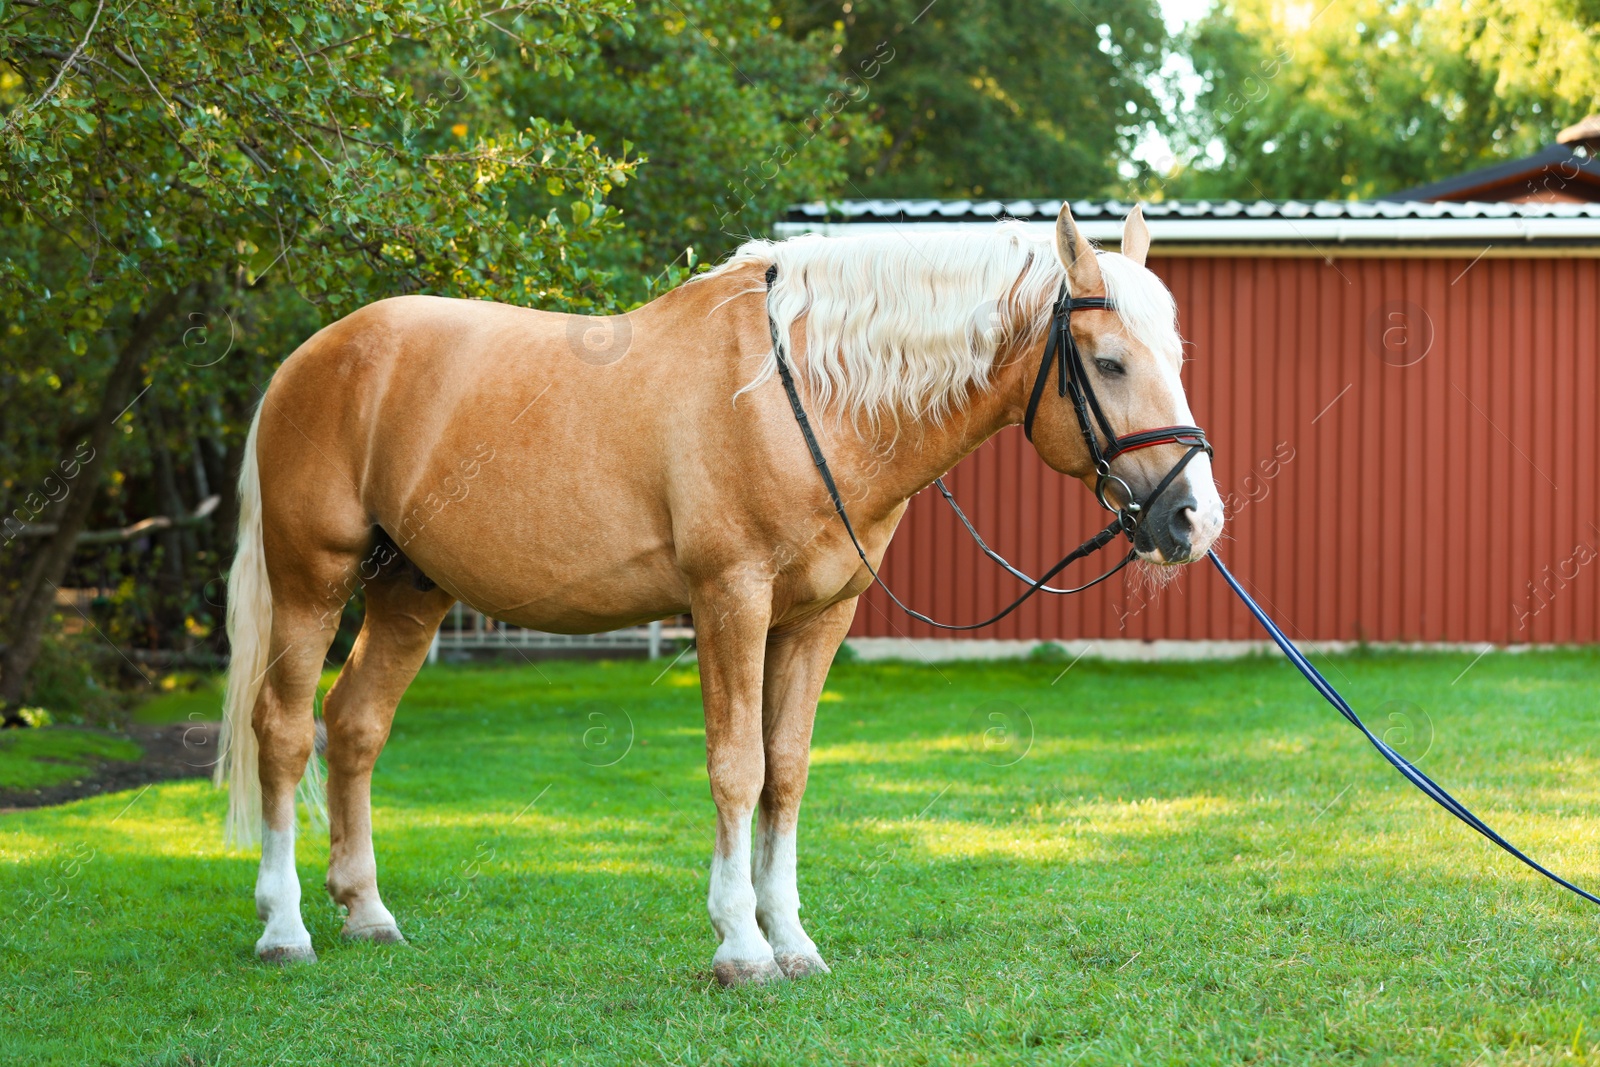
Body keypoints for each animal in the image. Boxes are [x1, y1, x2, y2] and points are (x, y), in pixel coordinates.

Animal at [209, 202, 1209, 985]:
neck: (799, 394)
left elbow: (787, 770)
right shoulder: (731, 600)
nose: (1194, 517)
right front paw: (741, 946)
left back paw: (366, 911)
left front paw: (792, 938)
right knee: (285, 730)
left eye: (1176, 353)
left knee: (356, 724)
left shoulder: (816, 620)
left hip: (410, 591)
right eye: (1110, 362)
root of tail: (312, 358)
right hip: (312, 580)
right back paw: (284, 926)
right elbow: (739, 767)